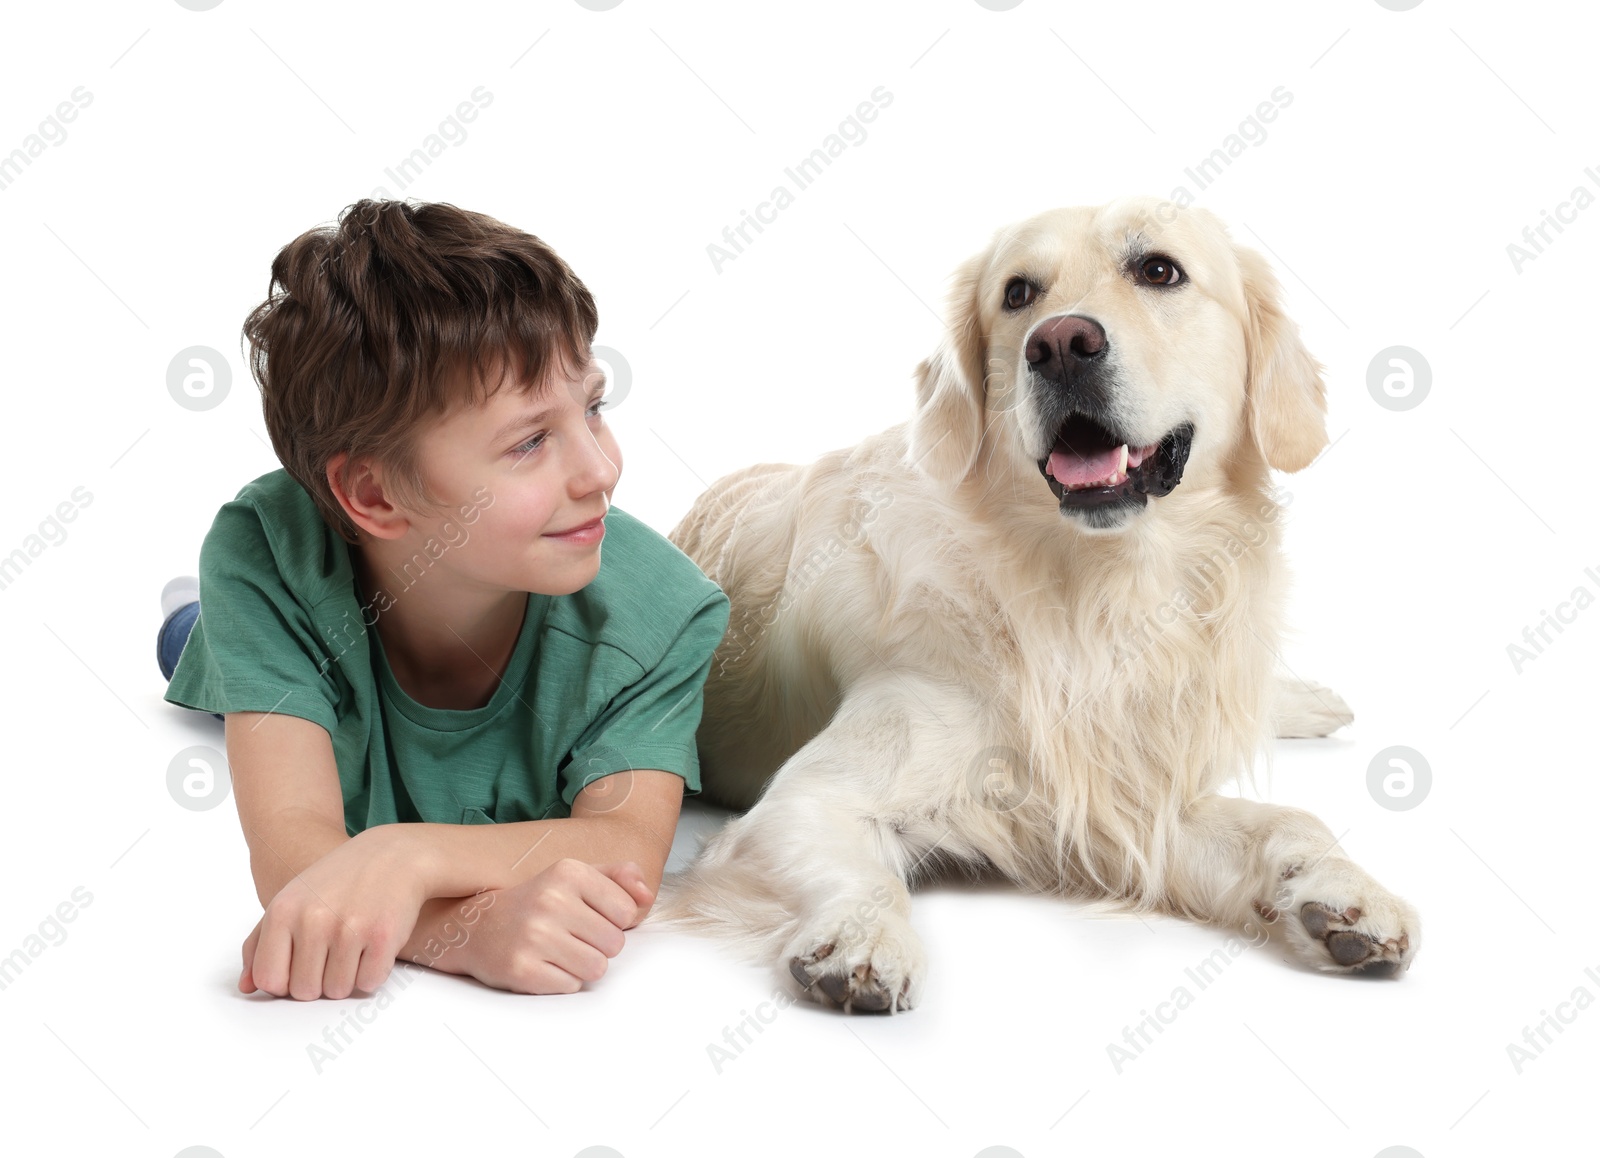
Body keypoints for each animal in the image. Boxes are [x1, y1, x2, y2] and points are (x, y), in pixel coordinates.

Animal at [649, 194, 1427, 1010]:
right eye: (1018, 293)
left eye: (1160, 270)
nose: (1059, 343)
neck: (1099, 590)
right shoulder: (806, 800)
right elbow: (864, 870)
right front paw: (863, 938)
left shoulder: (1133, 801)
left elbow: (1288, 821)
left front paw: (1343, 892)